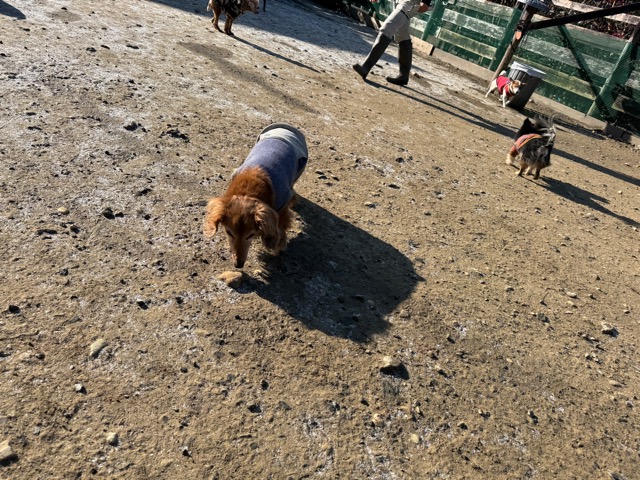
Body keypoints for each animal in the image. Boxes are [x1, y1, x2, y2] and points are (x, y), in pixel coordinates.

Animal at [204, 124, 308, 268]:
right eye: (229, 232)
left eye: (251, 235)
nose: (238, 264)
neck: (248, 190)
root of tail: (286, 127)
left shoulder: (282, 204)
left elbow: (281, 225)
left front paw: (279, 243)